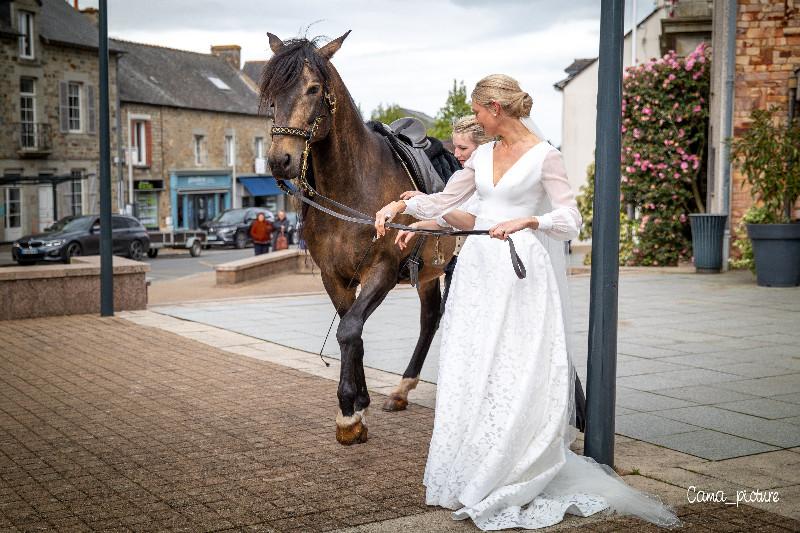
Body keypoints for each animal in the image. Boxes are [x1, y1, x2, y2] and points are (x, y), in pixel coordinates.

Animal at [260, 30, 454, 444]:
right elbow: (353, 329)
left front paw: (348, 413)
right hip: (429, 271)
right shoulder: (334, 277)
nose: (280, 160)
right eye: (270, 94)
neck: (352, 188)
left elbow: (349, 330)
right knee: (430, 317)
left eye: (314, 88)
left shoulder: (382, 269)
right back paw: (401, 390)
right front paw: (359, 405)